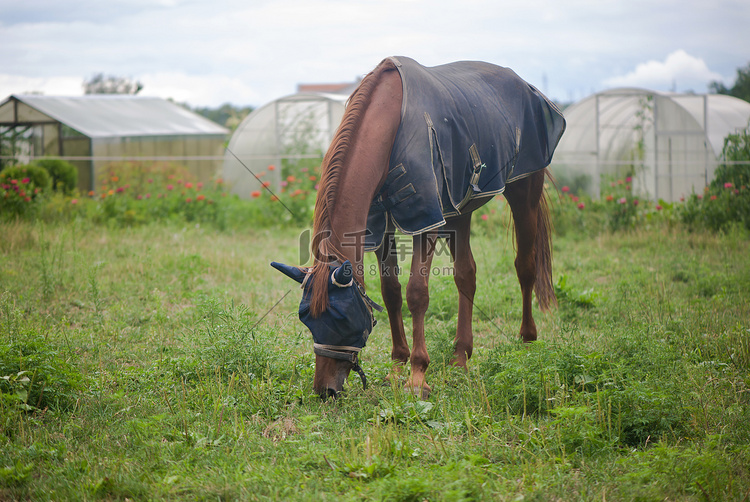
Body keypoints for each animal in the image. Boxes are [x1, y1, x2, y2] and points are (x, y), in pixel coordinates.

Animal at [274, 56, 568, 398]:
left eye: (341, 319)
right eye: (306, 319)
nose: (325, 390)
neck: (388, 124)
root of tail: (527, 86)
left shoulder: (426, 221)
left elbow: (416, 293)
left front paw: (417, 375)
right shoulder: (382, 227)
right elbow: (391, 291)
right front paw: (396, 365)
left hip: (524, 191)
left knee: (525, 265)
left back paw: (527, 341)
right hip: (459, 209)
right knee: (466, 274)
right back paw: (460, 357)